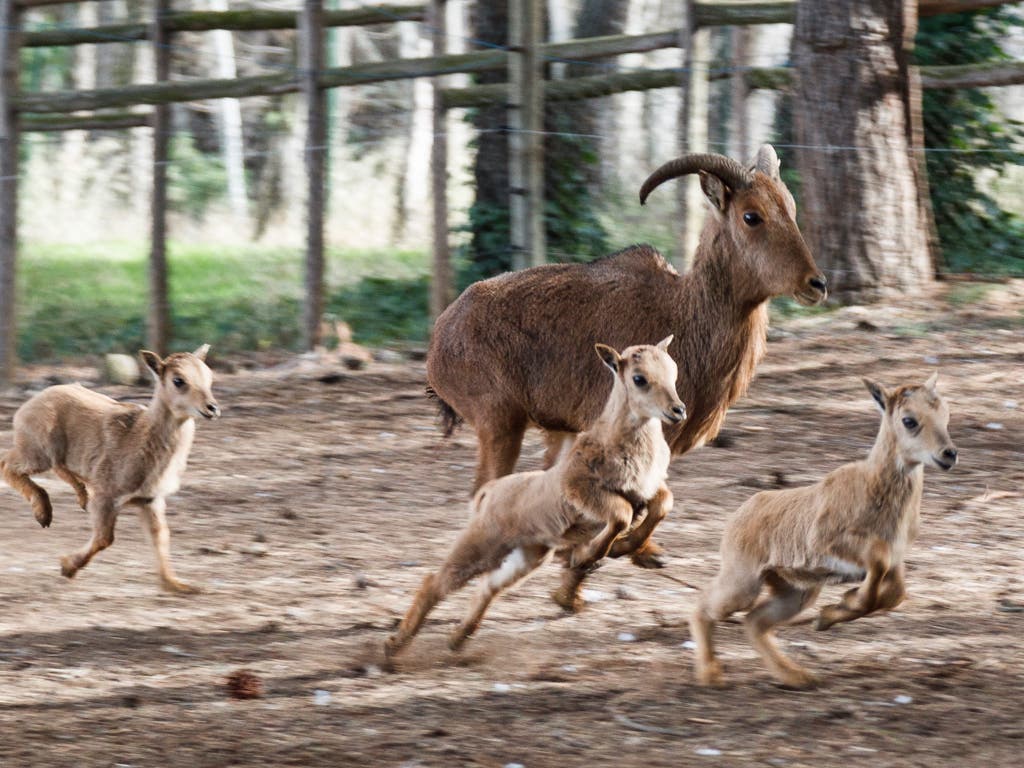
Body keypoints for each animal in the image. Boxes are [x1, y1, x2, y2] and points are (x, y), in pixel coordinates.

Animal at [1, 346, 221, 593]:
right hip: (38, 449)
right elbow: (105, 537)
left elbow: (161, 536)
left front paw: (178, 585)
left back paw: (79, 496)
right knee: (7, 462)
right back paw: (44, 515)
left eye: (209, 376)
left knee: (57, 467)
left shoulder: (151, 499)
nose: (212, 408)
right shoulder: (107, 493)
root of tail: (24, 408)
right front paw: (66, 567)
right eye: (178, 380)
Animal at [385, 335, 688, 655]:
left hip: (526, 555)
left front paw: (627, 550)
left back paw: (457, 639)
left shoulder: (648, 490)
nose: (678, 410)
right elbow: (621, 514)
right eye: (639, 378)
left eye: (673, 370)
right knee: (436, 582)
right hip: (482, 543)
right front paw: (587, 556)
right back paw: (393, 647)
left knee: (488, 586)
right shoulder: (580, 488)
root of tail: (488, 495)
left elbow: (662, 505)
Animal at [428, 145, 827, 589]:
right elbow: (644, 504)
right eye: (751, 215)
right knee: (485, 491)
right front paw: (606, 555)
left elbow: (654, 503)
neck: (685, 315)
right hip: (500, 424)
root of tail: (441, 334)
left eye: (790, 206)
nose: (816, 284)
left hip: (546, 432)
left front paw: (632, 552)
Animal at [692, 374, 954, 692]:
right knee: (705, 605)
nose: (948, 454)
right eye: (909, 420)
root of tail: (738, 517)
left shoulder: (894, 559)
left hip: (795, 590)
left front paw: (830, 613)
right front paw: (838, 607)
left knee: (755, 621)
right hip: (743, 581)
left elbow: (895, 593)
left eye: (945, 415)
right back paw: (711, 675)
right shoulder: (834, 543)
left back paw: (798, 676)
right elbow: (876, 575)